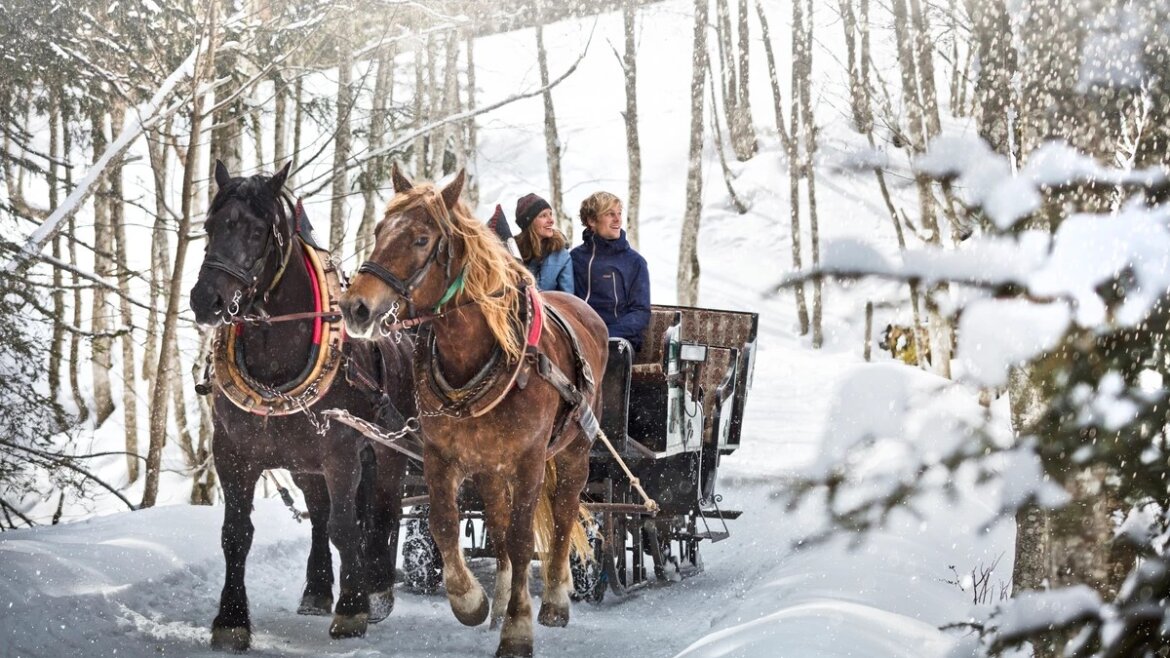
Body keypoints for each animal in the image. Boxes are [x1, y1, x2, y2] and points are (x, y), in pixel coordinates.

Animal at [189, 161, 414, 646]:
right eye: (210, 226)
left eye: (257, 232)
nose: (205, 300)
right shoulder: (232, 452)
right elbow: (236, 533)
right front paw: (231, 619)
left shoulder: (342, 453)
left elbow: (346, 527)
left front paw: (353, 609)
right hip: (302, 462)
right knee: (318, 515)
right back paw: (317, 589)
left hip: (388, 449)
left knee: (382, 510)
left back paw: (379, 589)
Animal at [339, 167, 608, 655]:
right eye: (379, 230)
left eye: (421, 239)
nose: (356, 307)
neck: (479, 355)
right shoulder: (441, 456)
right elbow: (446, 524)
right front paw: (471, 600)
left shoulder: (529, 460)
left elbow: (523, 540)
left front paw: (518, 628)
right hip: (489, 467)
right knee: (498, 526)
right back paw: (500, 599)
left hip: (573, 449)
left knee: (563, 514)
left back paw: (555, 598)